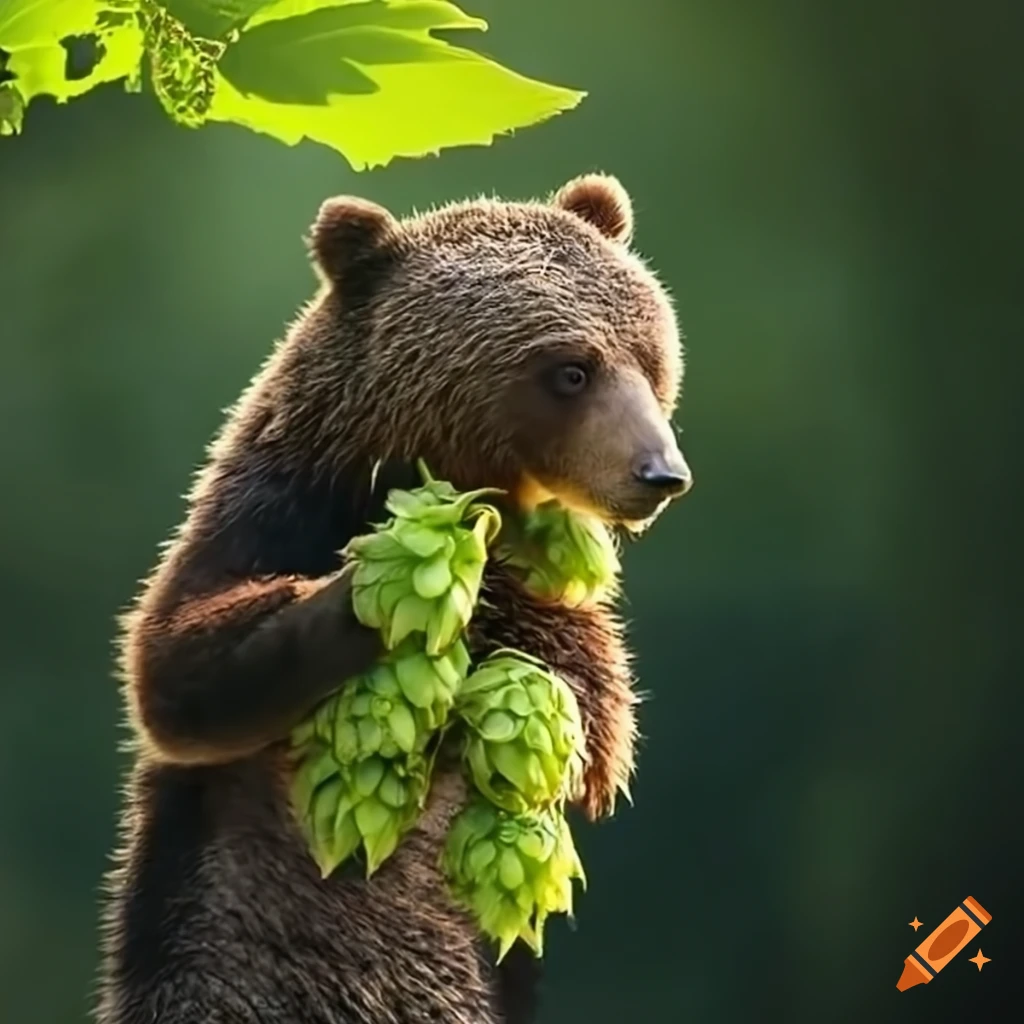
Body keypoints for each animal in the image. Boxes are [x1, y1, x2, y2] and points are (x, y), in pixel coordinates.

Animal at [95, 173, 692, 1024]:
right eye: (571, 370)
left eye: (649, 355)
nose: (659, 473)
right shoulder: (276, 511)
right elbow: (177, 663)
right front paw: (410, 573)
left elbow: (588, 697)